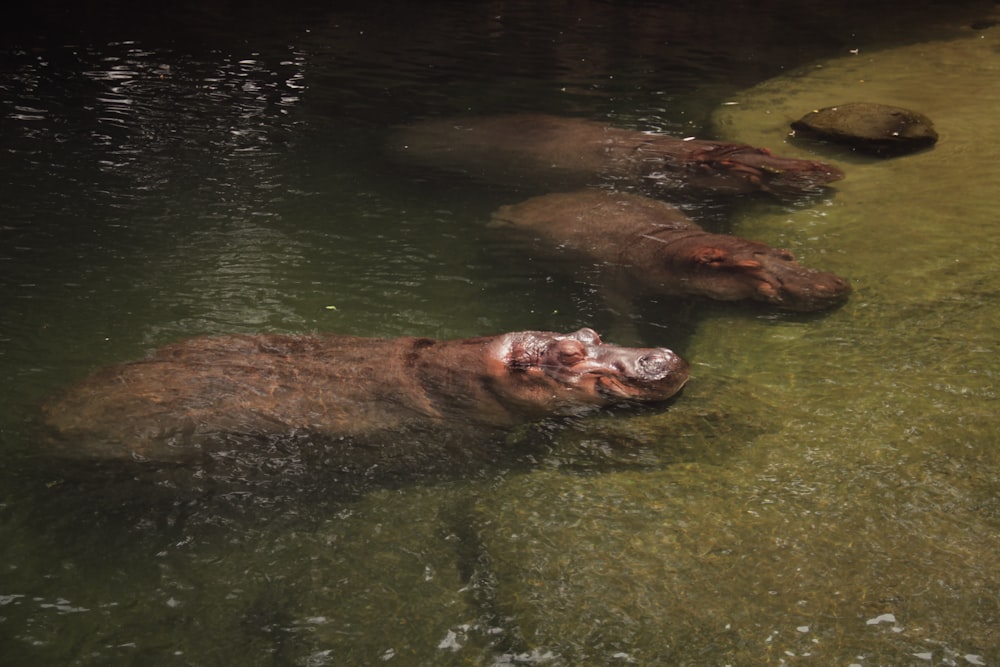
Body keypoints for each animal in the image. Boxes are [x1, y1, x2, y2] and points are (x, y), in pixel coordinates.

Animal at [492, 189, 852, 312]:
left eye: (785, 254)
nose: (825, 284)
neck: (665, 245)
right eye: (749, 268)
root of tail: (509, 207)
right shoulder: (614, 288)